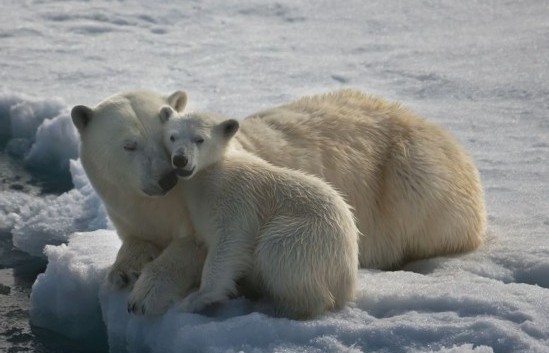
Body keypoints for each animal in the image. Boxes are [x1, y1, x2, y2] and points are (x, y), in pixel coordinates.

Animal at [69, 88, 484, 314]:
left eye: (160, 137)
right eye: (129, 145)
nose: (167, 176)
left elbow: (203, 248)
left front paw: (145, 295)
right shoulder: (128, 208)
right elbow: (136, 239)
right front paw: (123, 270)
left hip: (413, 186)